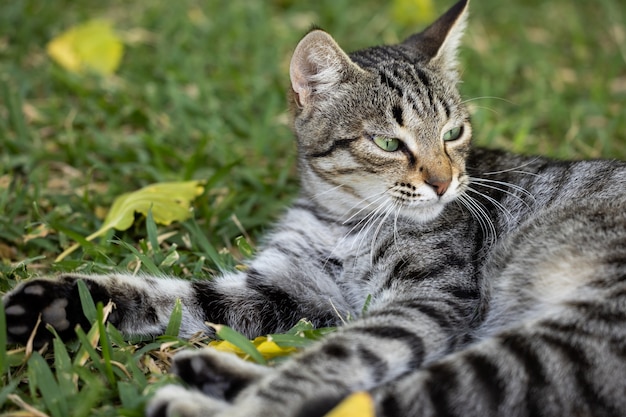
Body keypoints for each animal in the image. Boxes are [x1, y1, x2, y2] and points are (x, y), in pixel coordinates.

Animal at [1, 0, 624, 414]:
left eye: (454, 132)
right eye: (388, 143)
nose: (446, 182)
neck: (343, 221)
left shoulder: (427, 303)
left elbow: (332, 359)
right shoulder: (289, 289)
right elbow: (175, 296)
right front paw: (63, 301)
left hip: (553, 343)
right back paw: (212, 371)